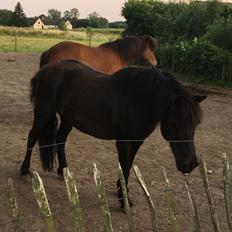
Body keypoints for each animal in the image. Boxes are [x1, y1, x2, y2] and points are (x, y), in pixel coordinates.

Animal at [20, 59, 207, 208]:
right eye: (174, 122)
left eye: (196, 123)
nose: (190, 164)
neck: (138, 100)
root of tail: (44, 70)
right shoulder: (123, 142)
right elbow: (124, 168)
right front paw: (124, 201)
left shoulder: (137, 141)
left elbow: (128, 167)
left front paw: (122, 192)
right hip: (44, 114)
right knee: (32, 137)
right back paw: (24, 170)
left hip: (67, 119)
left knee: (60, 139)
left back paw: (63, 171)